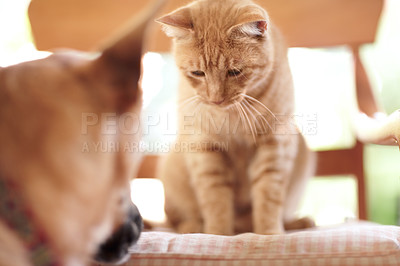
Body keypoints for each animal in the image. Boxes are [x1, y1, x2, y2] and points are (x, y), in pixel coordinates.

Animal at [156, 0, 316, 234]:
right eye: (197, 73)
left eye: (234, 72)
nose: (216, 99)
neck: (232, 116)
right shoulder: (204, 147)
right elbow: (215, 200)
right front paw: (217, 234)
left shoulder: (275, 143)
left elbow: (268, 197)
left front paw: (270, 233)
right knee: (175, 220)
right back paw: (192, 226)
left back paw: (296, 223)